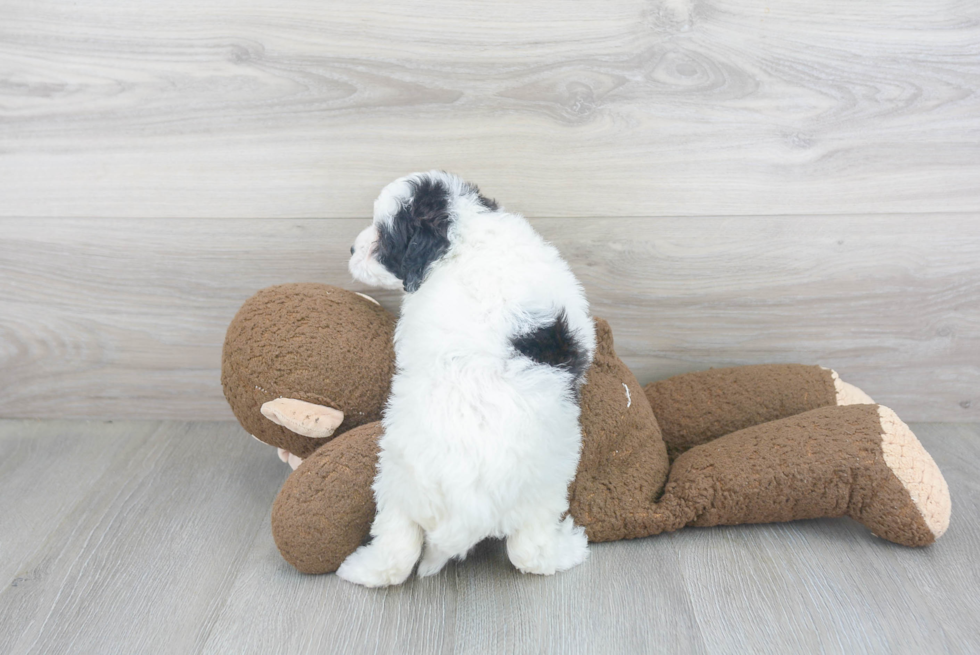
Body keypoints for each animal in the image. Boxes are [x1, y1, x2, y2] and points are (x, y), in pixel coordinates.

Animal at [340, 172, 592, 588]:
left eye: (385, 239)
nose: (350, 248)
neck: (462, 234)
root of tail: (464, 510)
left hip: (399, 487)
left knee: (400, 550)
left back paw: (359, 569)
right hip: (544, 489)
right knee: (531, 553)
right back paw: (572, 547)